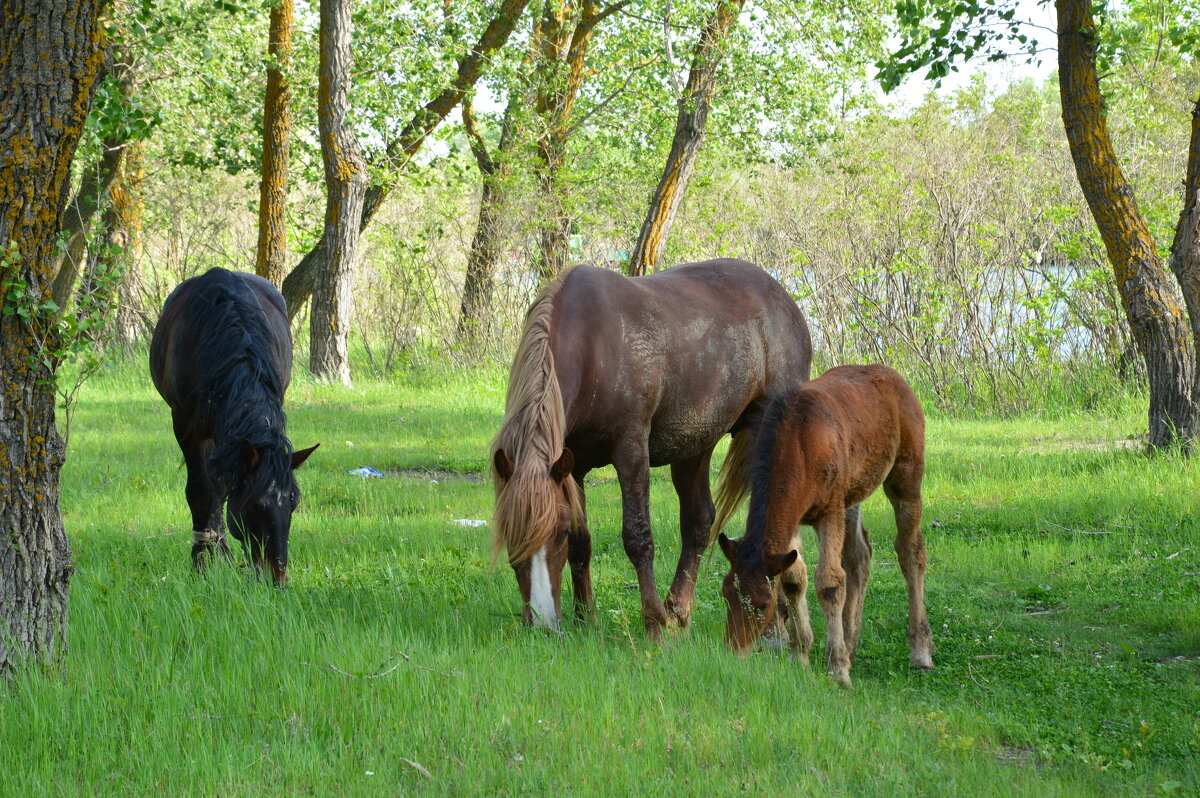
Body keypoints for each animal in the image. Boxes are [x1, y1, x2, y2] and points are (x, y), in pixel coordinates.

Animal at [148, 267, 319, 585]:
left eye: (293, 503)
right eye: (253, 506)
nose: (276, 578)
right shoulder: (186, 424)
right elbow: (202, 492)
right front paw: (202, 564)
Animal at [489, 258, 816, 638]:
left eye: (557, 535)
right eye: (510, 535)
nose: (542, 623)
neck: (593, 347)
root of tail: (783, 298)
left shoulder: (631, 449)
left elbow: (637, 537)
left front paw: (653, 623)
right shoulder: (573, 465)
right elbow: (583, 544)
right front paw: (586, 618)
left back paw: (773, 624)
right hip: (694, 446)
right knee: (698, 522)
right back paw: (679, 610)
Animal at [705, 364, 931, 686]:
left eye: (763, 604)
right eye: (726, 595)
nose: (734, 652)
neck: (800, 444)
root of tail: (895, 377)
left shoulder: (830, 511)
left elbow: (829, 583)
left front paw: (837, 669)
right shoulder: (794, 521)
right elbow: (794, 581)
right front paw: (800, 655)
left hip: (905, 480)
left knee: (911, 552)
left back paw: (920, 652)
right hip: (854, 495)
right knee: (860, 556)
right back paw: (851, 644)